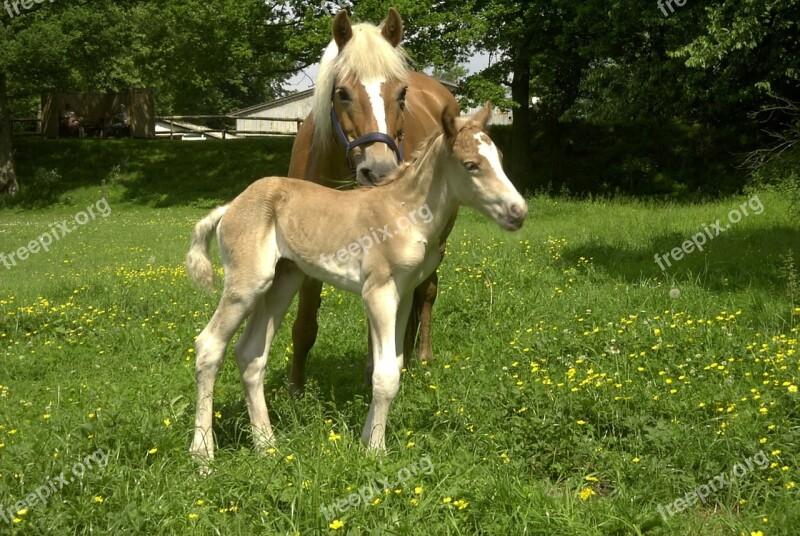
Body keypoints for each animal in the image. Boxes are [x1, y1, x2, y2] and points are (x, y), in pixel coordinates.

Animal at [184, 104, 528, 460]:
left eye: (500, 157)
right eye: (471, 164)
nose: (518, 212)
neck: (405, 212)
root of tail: (229, 206)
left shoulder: (404, 294)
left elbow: (394, 363)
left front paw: (367, 438)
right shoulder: (378, 292)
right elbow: (385, 374)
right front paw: (375, 451)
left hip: (282, 281)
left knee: (251, 354)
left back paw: (267, 446)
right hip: (247, 284)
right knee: (209, 345)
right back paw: (203, 454)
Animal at [290, 7, 462, 394]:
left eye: (401, 94)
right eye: (342, 93)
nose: (379, 170)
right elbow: (305, 321)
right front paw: (295, 388)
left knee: (427, 291)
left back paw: (421, 356)